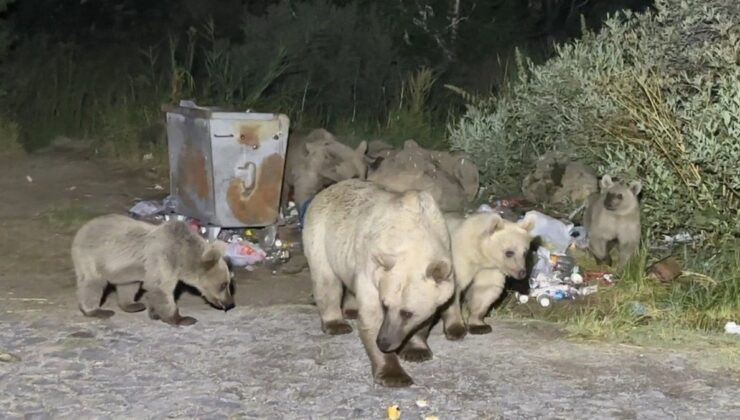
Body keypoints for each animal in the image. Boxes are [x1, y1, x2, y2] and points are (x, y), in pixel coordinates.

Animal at [302, 180, 454, 388]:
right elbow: (371, 317)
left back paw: (351, 309)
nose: (384, 342)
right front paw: (393, 374)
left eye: (407, 312)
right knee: (326, 280)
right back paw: (336, 324)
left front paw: (416, 351)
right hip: (320, 233)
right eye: (385, 304)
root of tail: (328, 189)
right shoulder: (373, 268)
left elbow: (426, 317)